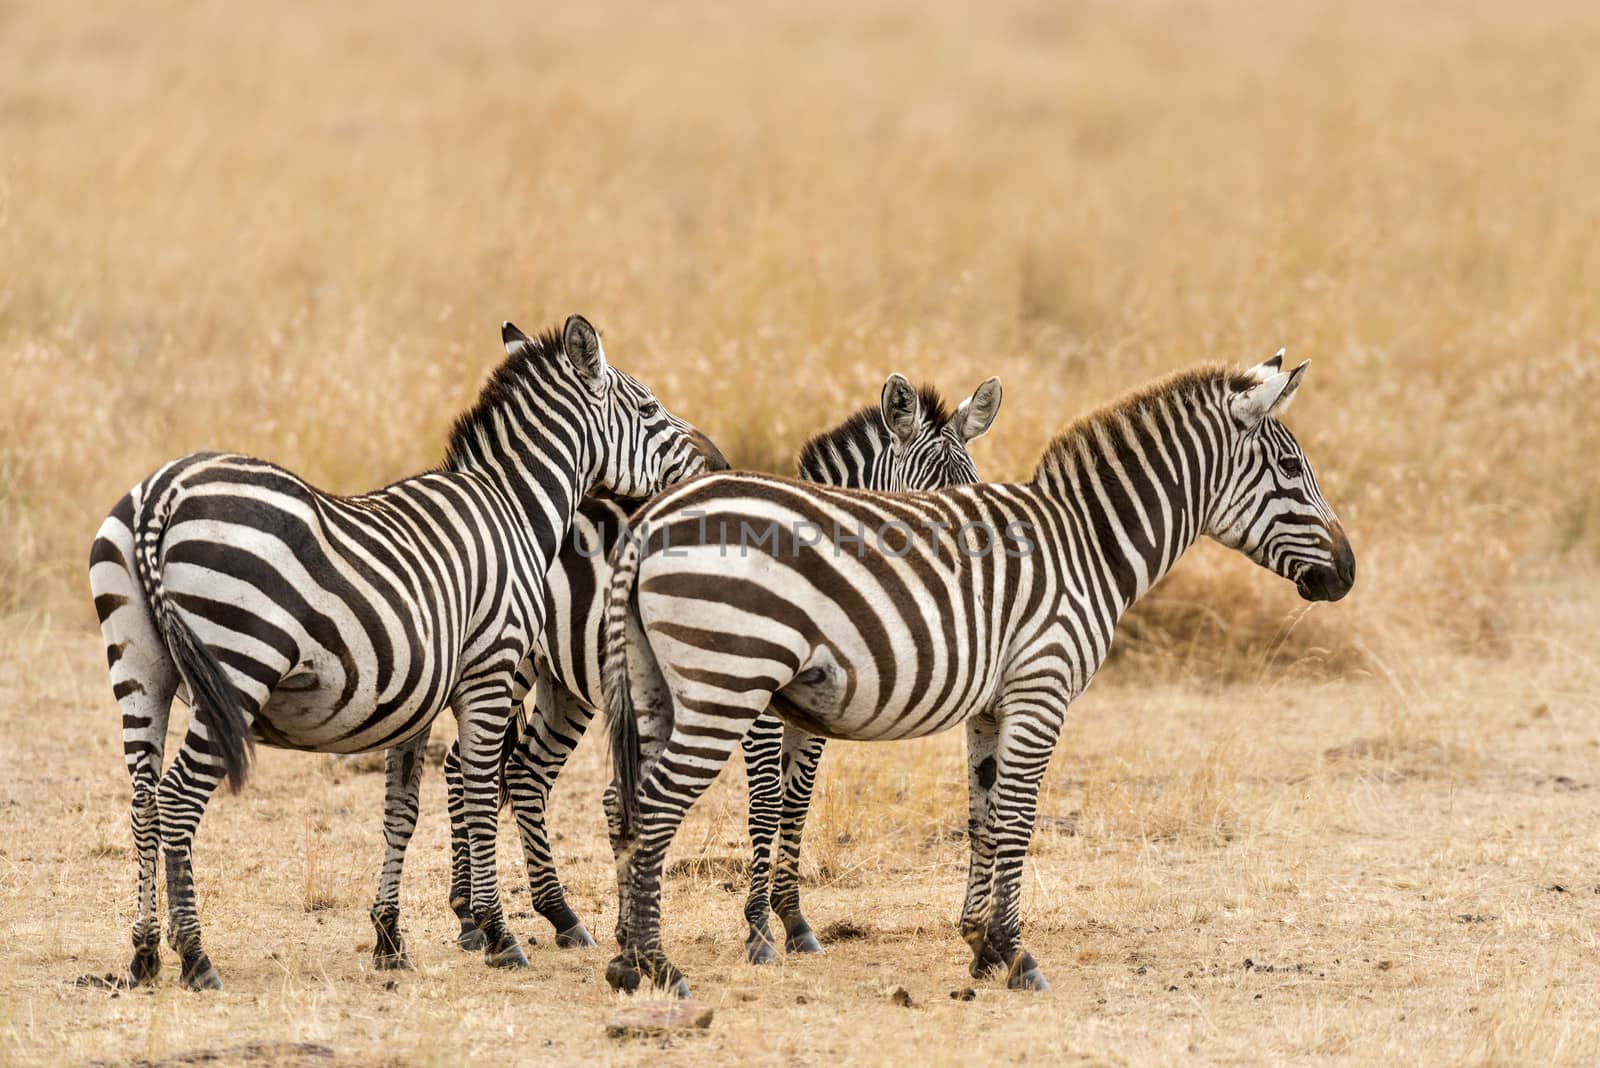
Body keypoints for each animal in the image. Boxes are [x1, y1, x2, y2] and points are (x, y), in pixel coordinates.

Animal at [86, 316, 713, 991]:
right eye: (648, 409)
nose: (718, 464)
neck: (513, 507)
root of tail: (162, 493)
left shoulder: (415, 695)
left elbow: (402, 810)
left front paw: (389, 937)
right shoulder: (490, 670)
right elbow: (481, 796)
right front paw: (497, 933)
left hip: (139, 671)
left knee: (144, 801)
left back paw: (145, 953)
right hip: (239, 663)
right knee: (178, 799)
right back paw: (196, 956)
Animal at [441, 374, 998, 959]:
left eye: (975, 487)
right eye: (925, 493)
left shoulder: (811, 722)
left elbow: (797, 804)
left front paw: (794, 921)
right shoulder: (757, 711)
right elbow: (767, 804)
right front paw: (758, 929)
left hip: (564, 682)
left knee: (525, 770)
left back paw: (559, 917)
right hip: (512, 658)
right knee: (464, 764)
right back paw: (473, 919)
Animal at [601, 354, 1350, 997]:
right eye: (1291, 466)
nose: (1346, 574)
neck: (1085, 543)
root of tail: (650, 519)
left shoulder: (991, 707)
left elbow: (982, 817)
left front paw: (979, 944)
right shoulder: (1041, 689)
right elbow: (1017, 819)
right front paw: (1016, 954)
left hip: (656, 689)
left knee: (628, 801)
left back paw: (626, 958)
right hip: (726, 686)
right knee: (657, 805)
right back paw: (657, 967)